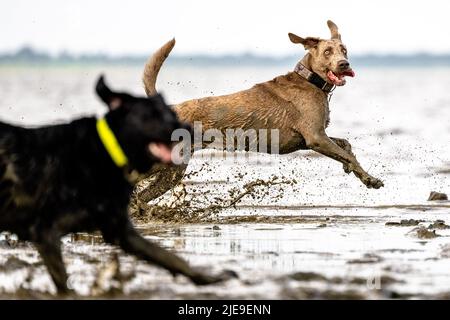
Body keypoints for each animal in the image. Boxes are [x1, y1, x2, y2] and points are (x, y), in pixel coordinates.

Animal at [0, 75, 232, 296]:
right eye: (154, 115)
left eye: (169, 113)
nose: (189, 128)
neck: (103, 153)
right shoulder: (46, 231)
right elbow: (63, 283)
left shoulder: (121, 230)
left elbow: (169, 257)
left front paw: (210, 278)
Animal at [136, 21, 384, 208]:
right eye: (327, 51)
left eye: (344, 50)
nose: (344, 64)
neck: (310, 80)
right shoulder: (315, 137)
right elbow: (348, 154)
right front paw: (371, 179)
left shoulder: (313, 137)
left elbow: (346, 146)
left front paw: (353, 171)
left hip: (173, 169)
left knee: (142, 196)